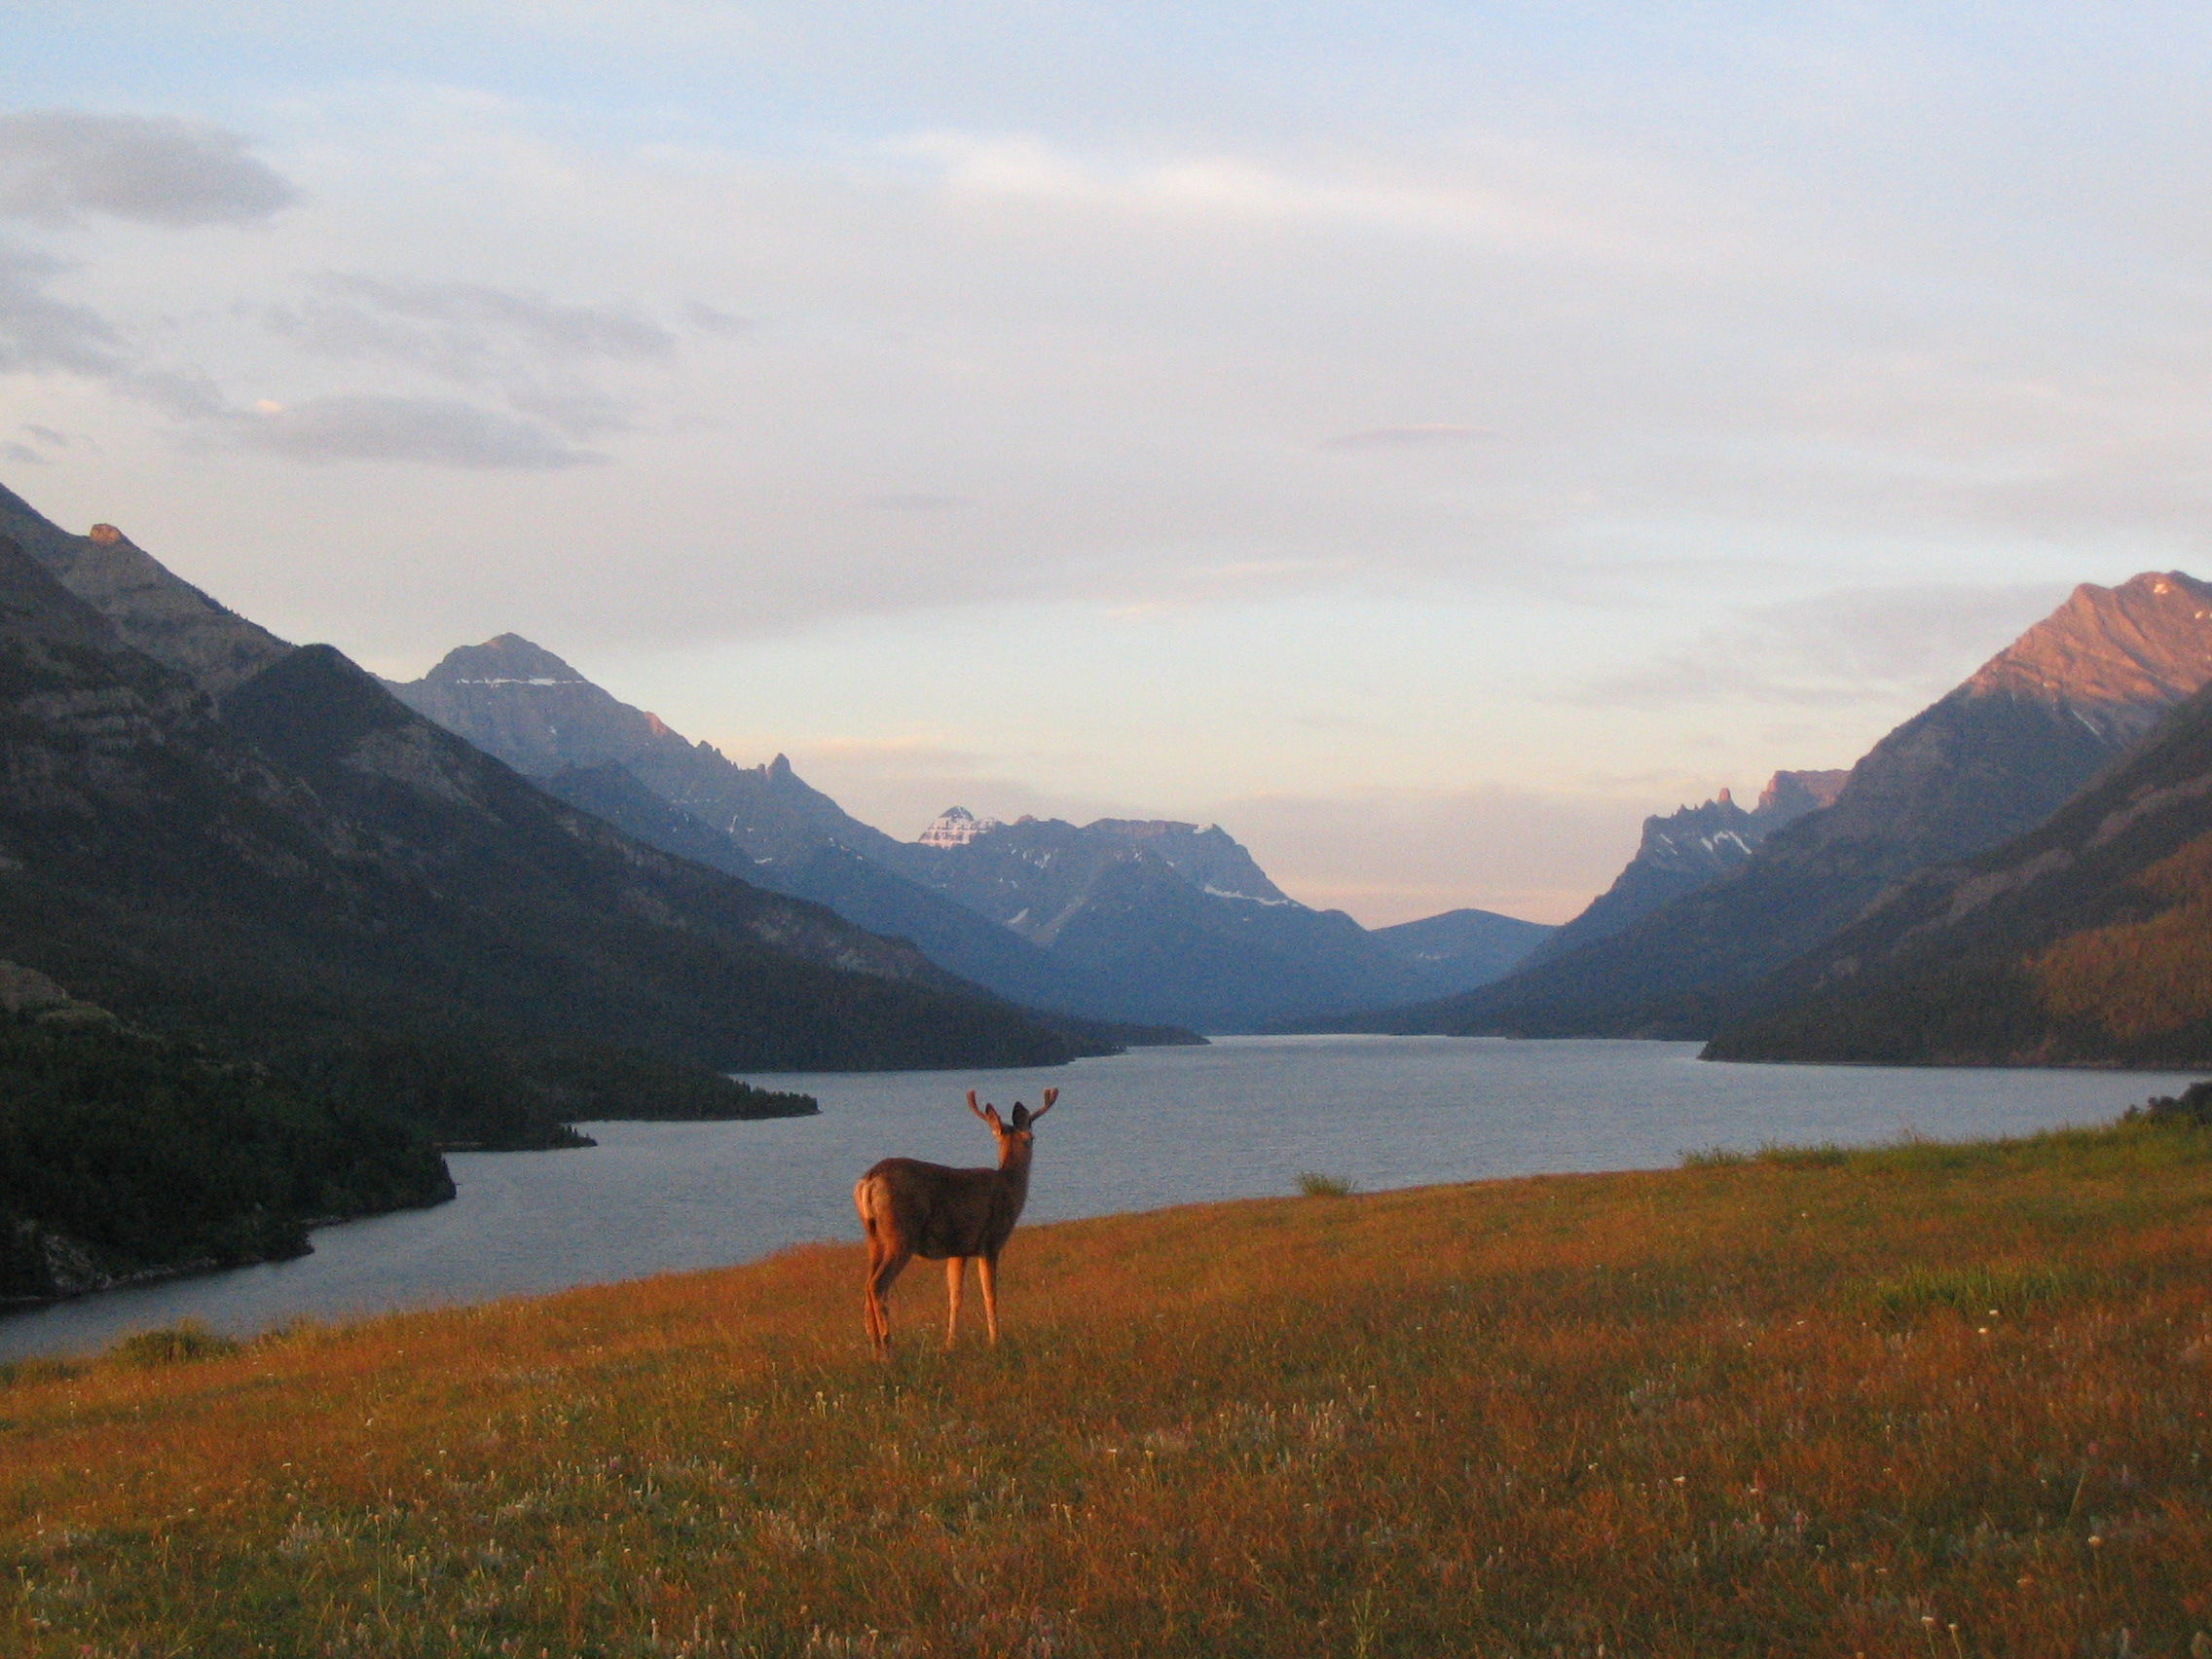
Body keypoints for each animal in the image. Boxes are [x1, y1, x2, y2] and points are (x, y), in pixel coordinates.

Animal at [849, 1092, 1057, 1362]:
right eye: (1031, 1137)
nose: (1033, 1143)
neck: (1010, 1183)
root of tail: (869, 1180)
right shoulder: (990, 1242)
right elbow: (990, 1294)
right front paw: (995, 1341)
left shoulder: (958, 1250)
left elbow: (955, 1296)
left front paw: (949, 1344)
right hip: (900, 1234)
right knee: (877, 1285)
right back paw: (886, 1349)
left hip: (873, 1237)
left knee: (866, 1285)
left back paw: (874, 1348)